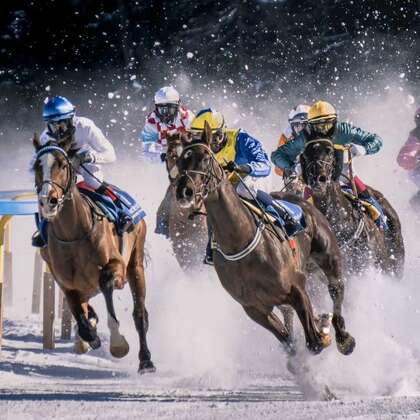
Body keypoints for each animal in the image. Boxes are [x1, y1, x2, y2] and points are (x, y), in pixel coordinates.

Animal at [31, 136, 155, 372]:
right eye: (36, 166)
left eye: (62, 164)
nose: (48, 200)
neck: (73, 234)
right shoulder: (67, 283)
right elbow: (82, 319)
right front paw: (90, 335)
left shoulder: (116, 266)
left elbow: (106, 283)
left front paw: (118, 344)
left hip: (135, 263)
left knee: (140, 314)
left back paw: (146, 361)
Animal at [174, 123, 354, 362]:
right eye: (179, 161)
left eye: (205, 158)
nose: (184, 191)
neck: (241, 242)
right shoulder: (254, 308)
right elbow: (288, 341)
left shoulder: (296, 288)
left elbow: (314, 341)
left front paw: (322, 331)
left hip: (328, 255)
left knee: (336, 288)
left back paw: (343, 337)